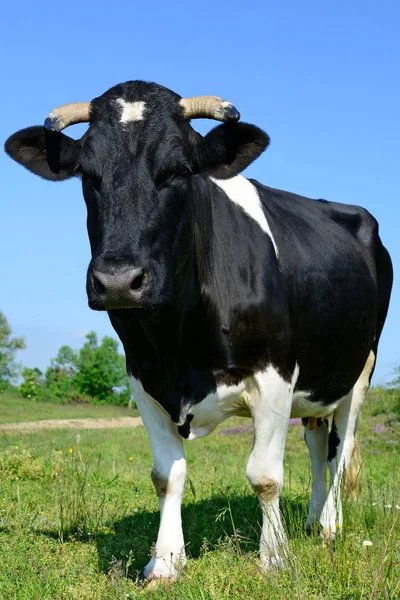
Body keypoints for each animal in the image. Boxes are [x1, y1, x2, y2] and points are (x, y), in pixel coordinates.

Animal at [5, 81, 394, 580]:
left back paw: (330, 527)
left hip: (361, 369)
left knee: (339, 450)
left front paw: (274, 559)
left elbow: (264, 476)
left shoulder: (274, 373)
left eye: (179, 170)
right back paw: (310, 522)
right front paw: (165, 562)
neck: (179, 344)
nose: (118, 280)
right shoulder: (142, 375)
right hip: (318, 380)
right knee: (314, 444)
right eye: (88, 175)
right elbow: (166, 475)